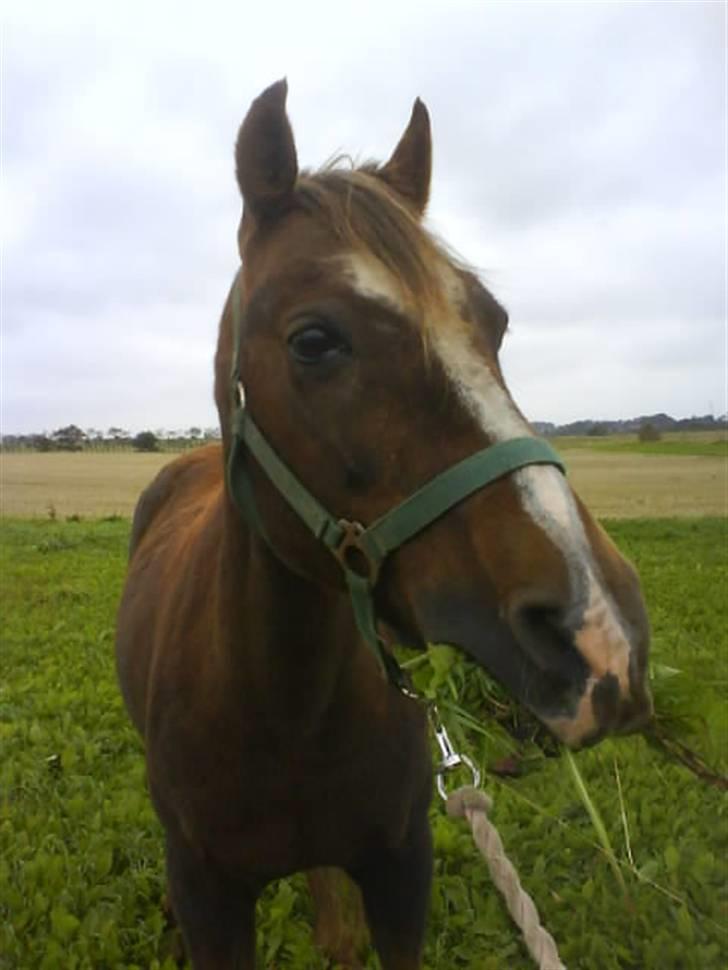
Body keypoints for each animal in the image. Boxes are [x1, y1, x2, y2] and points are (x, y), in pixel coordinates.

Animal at [115, 80, 652, 969]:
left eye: (494, 323)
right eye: (314, 340)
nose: (602, 638)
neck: (282, 708)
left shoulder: (402, 869)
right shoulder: (208, 895)